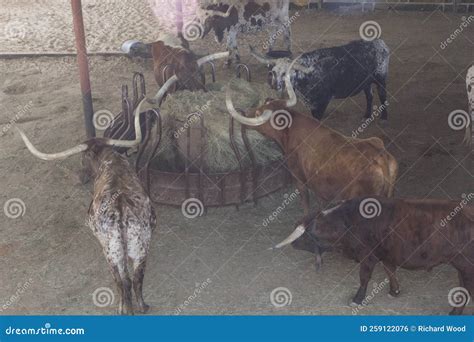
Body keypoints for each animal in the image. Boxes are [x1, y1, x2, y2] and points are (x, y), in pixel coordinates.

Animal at [250, 39, 390, 120]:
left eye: (286, 73)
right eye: (273, 71)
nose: (275, 85)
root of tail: (380, 43)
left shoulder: (322, 102)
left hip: (381, 79)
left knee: (382, 95)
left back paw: (384, 116)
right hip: (366, 82)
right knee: (369, 96)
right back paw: (366, 115)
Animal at [274, 196, 474, 314]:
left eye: (304, 235)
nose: (293, 243)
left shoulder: (368, 256)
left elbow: (364, 277)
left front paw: (357, 299)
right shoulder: (386, 255)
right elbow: (390, 271)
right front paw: (394, 291)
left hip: (465, 266)